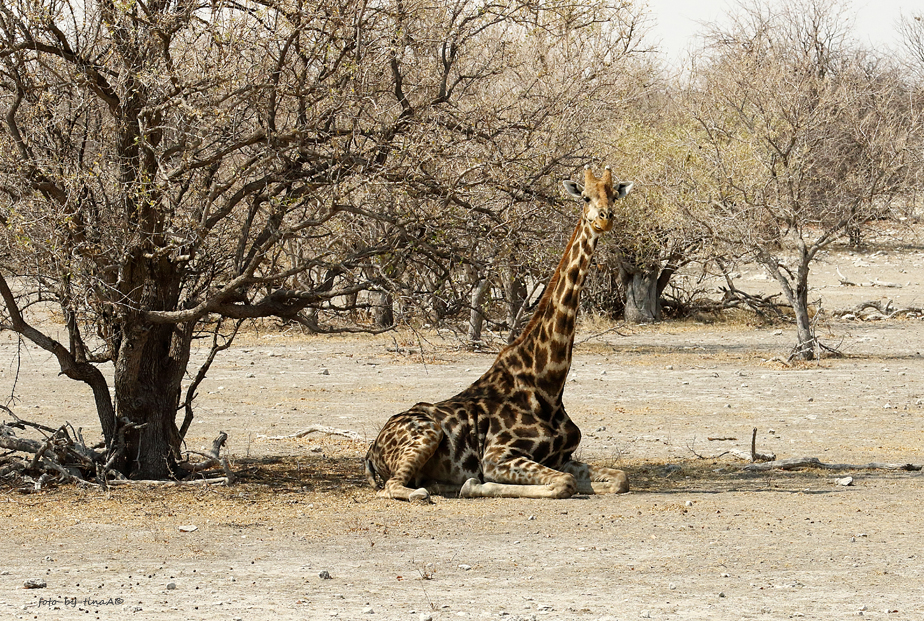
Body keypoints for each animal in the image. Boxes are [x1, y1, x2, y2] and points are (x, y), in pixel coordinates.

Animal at [364, 167, 632, 502]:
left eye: (614, 195)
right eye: (585, 197)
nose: (604, 218)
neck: (548, 381)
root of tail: (373, 448)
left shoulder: (562, 457)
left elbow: (621, 478)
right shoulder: (498, 456)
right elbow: (564, 484)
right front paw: (474, 484)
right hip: (428, 433)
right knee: (395, 487)